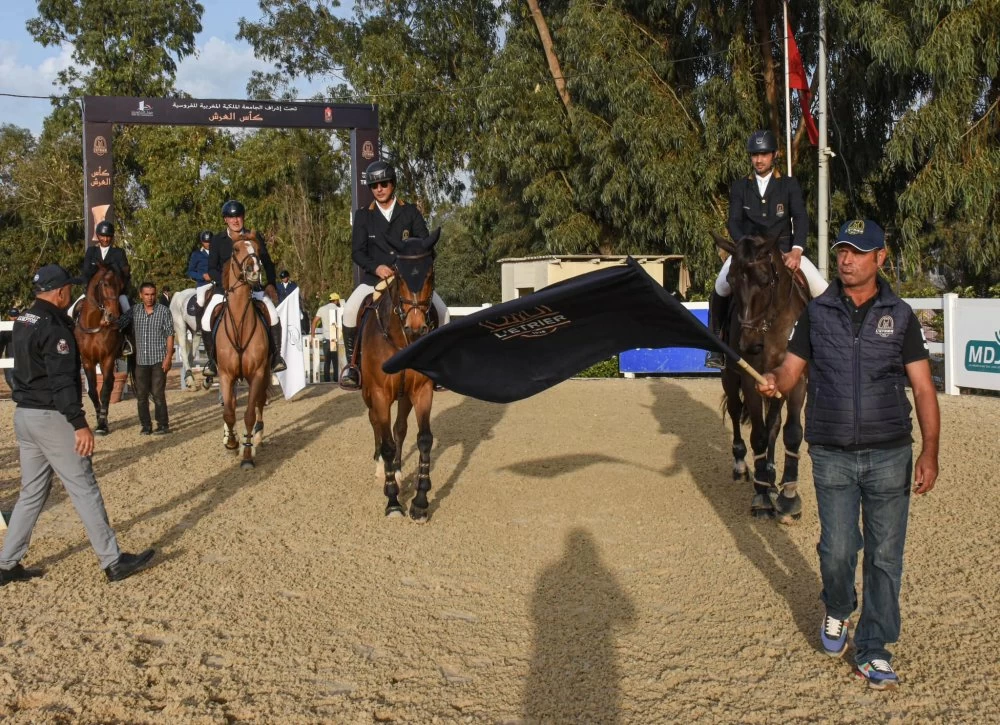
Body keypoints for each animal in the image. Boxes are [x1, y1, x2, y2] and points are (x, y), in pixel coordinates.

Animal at [75, 266, 129, 436]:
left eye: (121, 285)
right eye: (105, 284)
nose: (113, 315)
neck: (94, 323)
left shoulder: (108, 359)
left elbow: (105, 390)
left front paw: (102, 425)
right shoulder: (87, 361)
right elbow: (93, 391)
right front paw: (99, 419)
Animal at [360, 229, 438, 516]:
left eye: (430, 274)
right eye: (399, 275)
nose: (416, 328)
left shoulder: (422, 390)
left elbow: (423, 439)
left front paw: (420, 501)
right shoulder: (380, 393)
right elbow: (385, 442)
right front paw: (393, 500)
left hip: (404, 396)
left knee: (400, 428)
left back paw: (398, 469)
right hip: (369, 394)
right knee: (376, 424)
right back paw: (382, 470)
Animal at [712, 235, 812, 524]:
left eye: (767, 280)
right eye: (731, 280)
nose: (749, 345)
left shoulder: (797, 380)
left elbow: (791, 432)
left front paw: (788, 497)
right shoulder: (750, 381)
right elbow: (757, 434)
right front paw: (762, 499)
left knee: (774, 424)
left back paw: (770, 471)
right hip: (730, 377)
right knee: (735, 412)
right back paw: (742, 466)